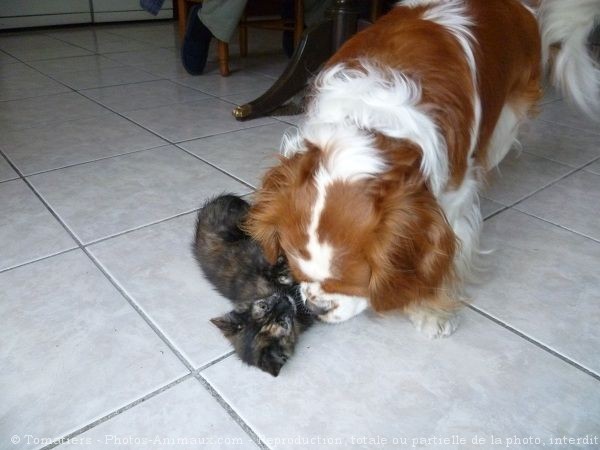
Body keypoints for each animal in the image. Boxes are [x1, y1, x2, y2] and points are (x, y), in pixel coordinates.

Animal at [245, 0, 600, 338]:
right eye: (295, 270)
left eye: (355, 282)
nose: (317, 309)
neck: (366, 126)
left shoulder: (452, 197)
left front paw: (430, 309)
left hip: (507, 118)